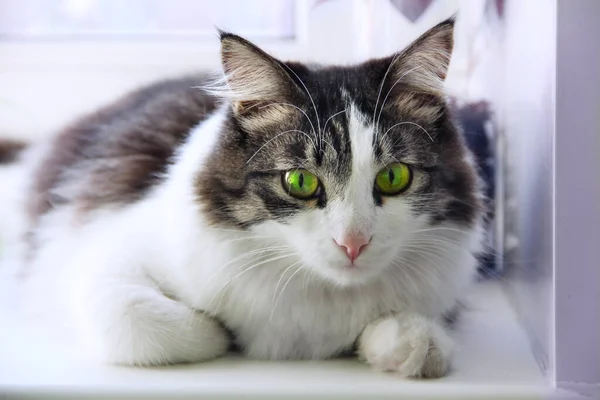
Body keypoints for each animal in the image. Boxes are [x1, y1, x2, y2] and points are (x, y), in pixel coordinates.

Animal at [2, 16, 486, 378]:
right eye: (300, 182)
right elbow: (142, 322)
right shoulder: (105, 257)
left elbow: (419, 336)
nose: (353, 244)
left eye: (393, 177)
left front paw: (408, 343)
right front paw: (221, 333)